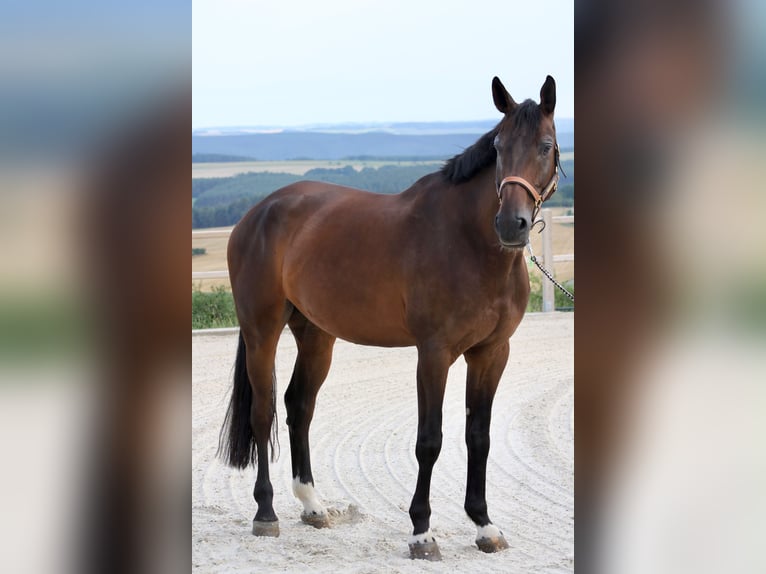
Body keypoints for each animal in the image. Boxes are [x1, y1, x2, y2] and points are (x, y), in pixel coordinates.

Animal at [219, 75, 561, 560]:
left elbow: (479, 437)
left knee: (298, 406)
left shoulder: (492, 353)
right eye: (499, 146)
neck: (469, 243)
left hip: (316, 336)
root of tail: (258, 212)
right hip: (261, 331)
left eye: (546, 146)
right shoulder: (434, 354)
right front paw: (422, 532)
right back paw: (265, 513)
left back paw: (312, 505)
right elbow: (430, 441)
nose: (511, 225)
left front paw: (484, 525)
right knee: (263, 413)